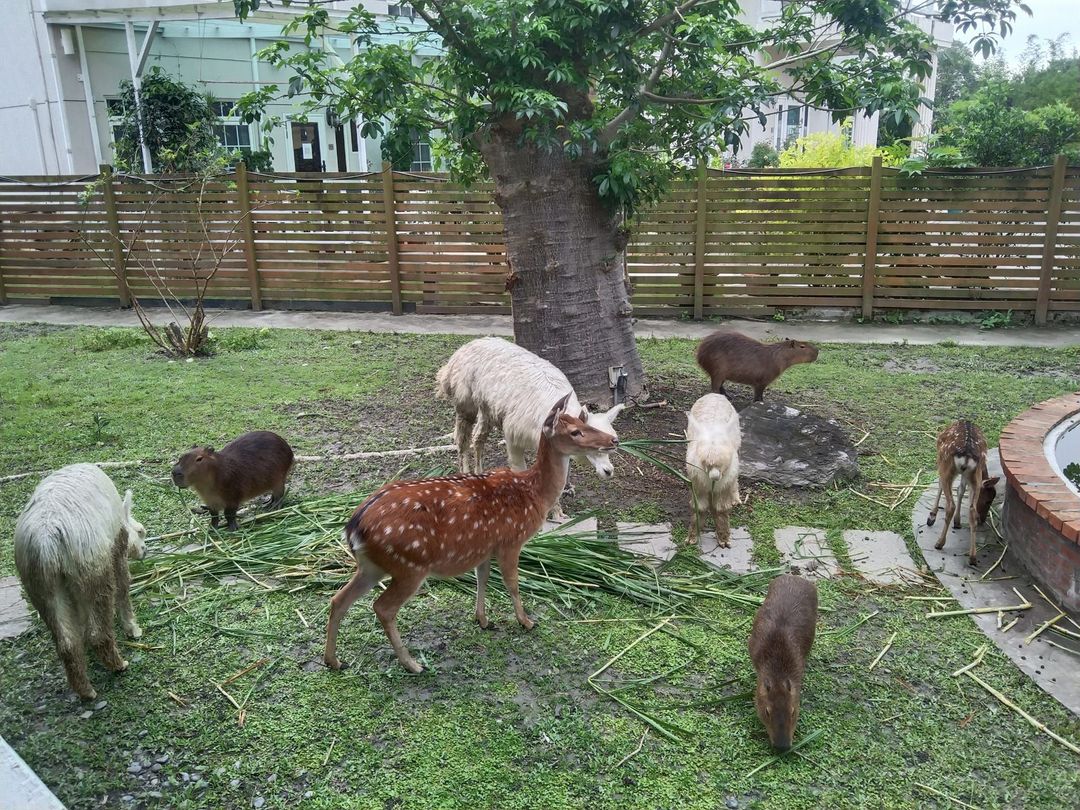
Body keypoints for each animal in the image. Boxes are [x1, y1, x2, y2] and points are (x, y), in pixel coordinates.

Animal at [324, 393, 619, 674]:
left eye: (583, 423)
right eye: (576, 431)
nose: (613, 440)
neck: (533, 492)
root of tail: (354, 527)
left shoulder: (485, 546)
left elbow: (483, 579)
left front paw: (483, 620)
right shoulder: (511, 540)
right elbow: (512, 582)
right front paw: (526, 621)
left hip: (372, 566)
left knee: (338, 599)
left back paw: (334, 661)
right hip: (410, 565)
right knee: (382, 608)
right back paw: (412, 664)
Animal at [927, 419, 1000, 566]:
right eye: (989, 499)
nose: (983, 520)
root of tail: (966, 456)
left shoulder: (940, 462)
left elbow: (940, 484)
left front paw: (932, 516)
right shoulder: (968, 477)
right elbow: (960, 490)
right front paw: (957, 521)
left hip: (947, 467)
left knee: (950, 504)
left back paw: (939, 543)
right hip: (975, 477)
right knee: (972, 511)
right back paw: (972, 557)